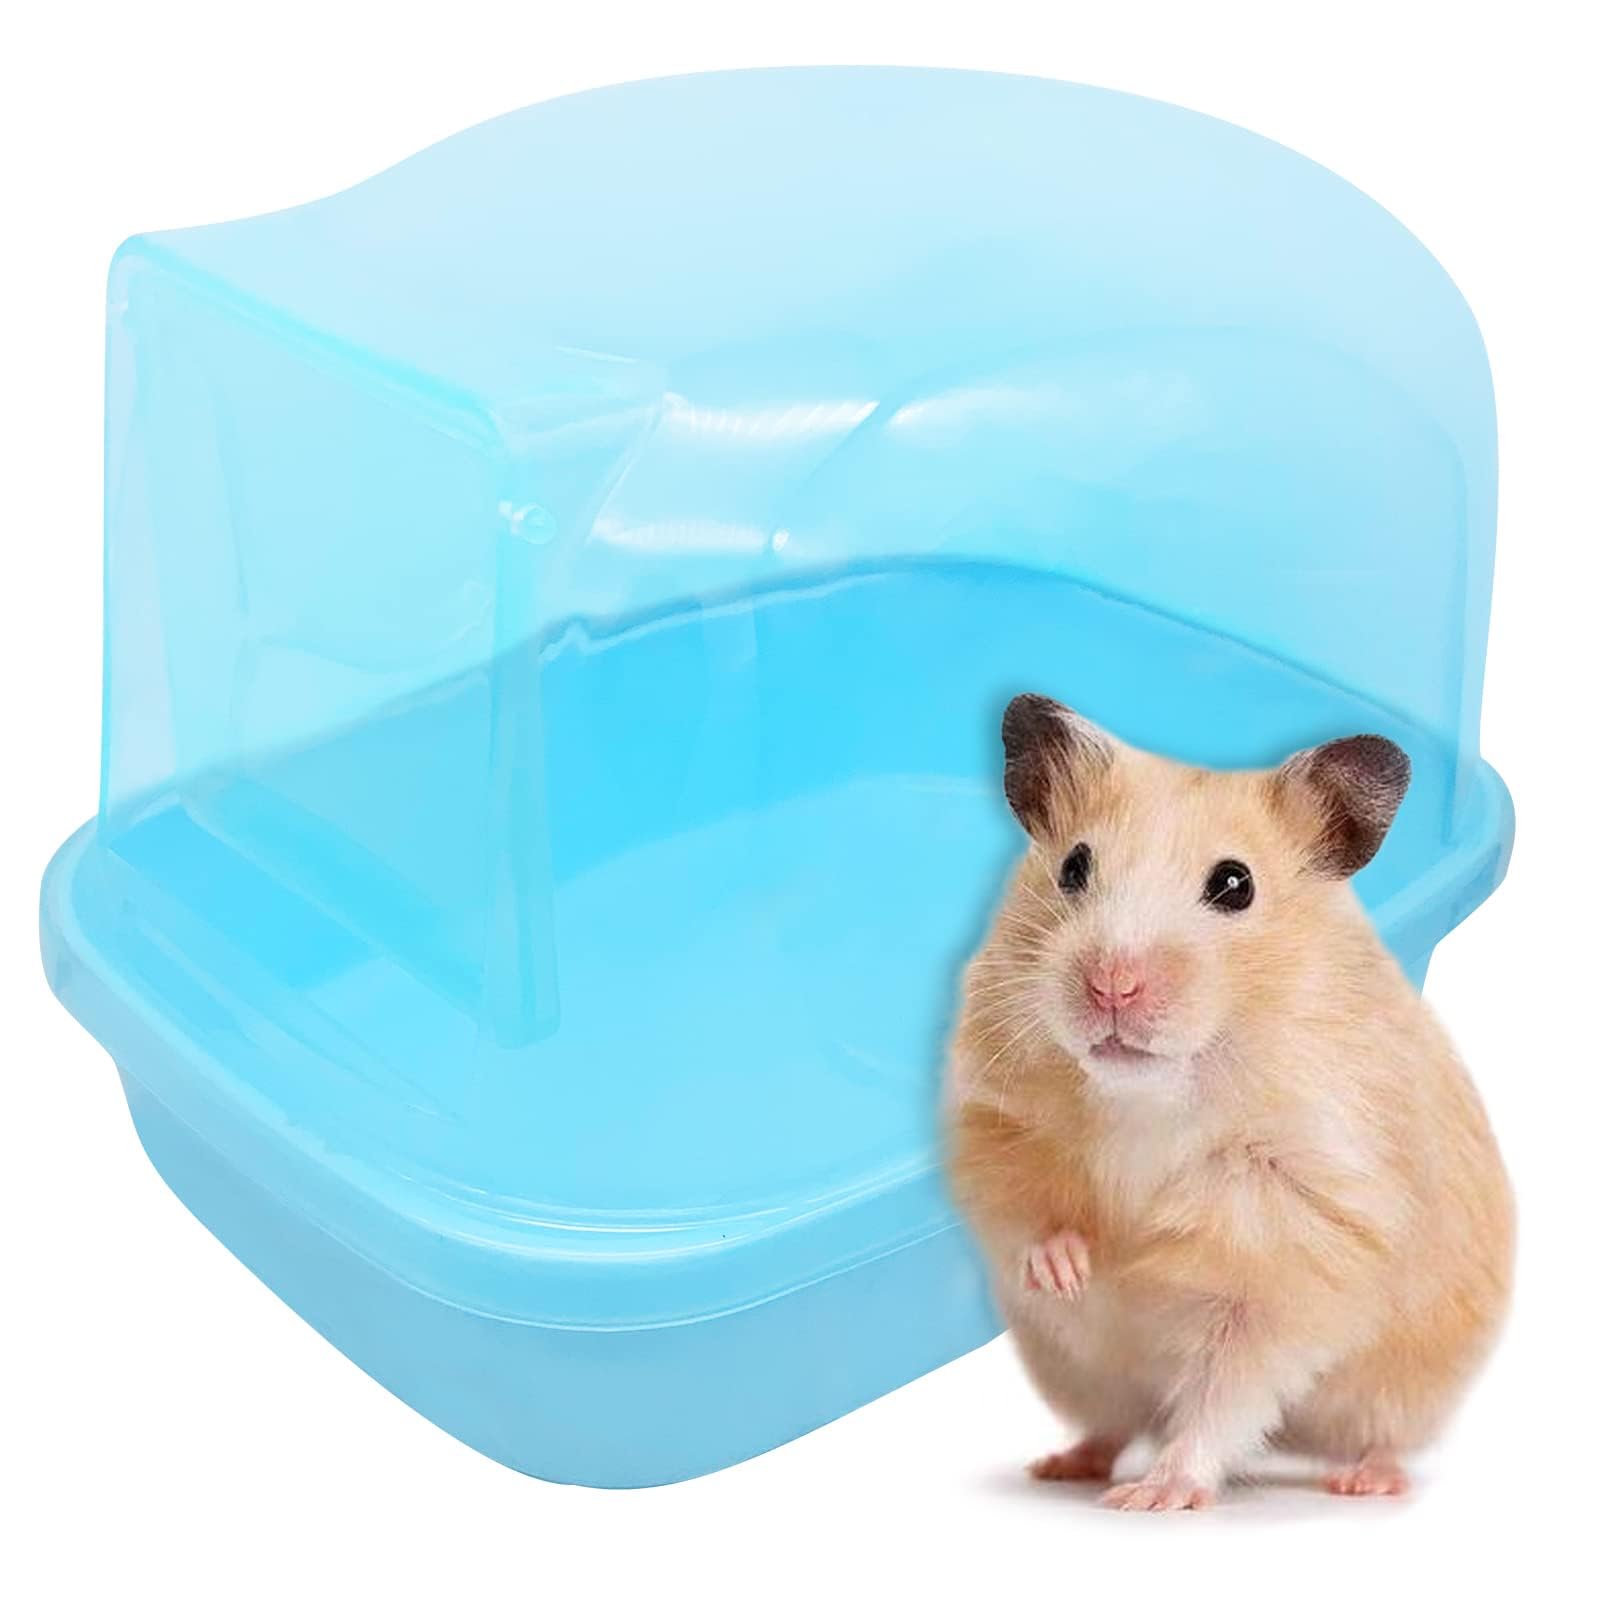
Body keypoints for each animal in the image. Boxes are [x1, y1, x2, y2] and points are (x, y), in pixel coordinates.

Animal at [945, 694, 1513, 1510]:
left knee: (1377, 1435)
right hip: (1078, 1373)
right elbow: (1026, 1210)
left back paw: (1361, 1481)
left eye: (1235, 884)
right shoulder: (994, 1121)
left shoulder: (1291, 1254)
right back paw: (1062, 1464)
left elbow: (1225, 1391)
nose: (1111, 986)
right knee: (1112, 1424)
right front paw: (1072, 1271)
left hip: (1407, 1387)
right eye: (1074, 866)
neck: (1151, 1096)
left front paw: (1156, 1496)